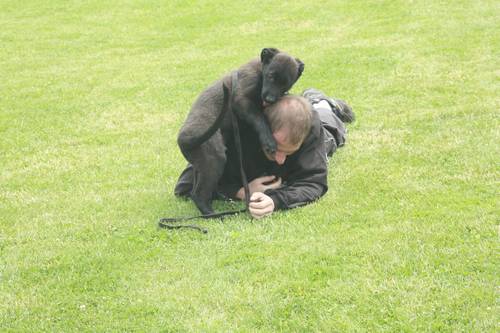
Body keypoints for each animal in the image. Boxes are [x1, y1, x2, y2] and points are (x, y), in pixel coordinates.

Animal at [176, 47, 304, 213]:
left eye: (286, 84)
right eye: (271, 76)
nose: (269, 99)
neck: (260, 73)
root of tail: (183, 140)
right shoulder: (241, 100)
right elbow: (259, 118)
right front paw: (268, 140)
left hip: (201, 164)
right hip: (214, 158)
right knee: (198, 194)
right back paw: (211, 213)